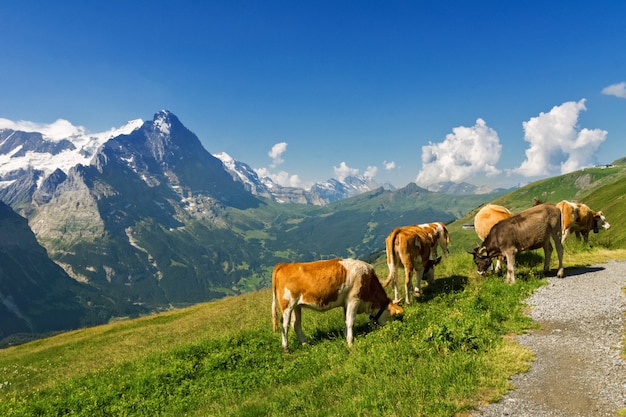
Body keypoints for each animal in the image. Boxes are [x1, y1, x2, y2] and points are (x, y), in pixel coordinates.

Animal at [270, 256, 402, 352]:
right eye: (392, 315)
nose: (389, 328)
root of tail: (284, 265)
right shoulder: (354, 299)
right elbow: (350, 322)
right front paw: (350, 343)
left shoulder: (346, 303)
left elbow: (346, 320)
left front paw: (345, 336)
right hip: (287, 305)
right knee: (285, 325)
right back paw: (286, 348)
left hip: (297, 306)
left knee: (296, 324)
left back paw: (305, 343)